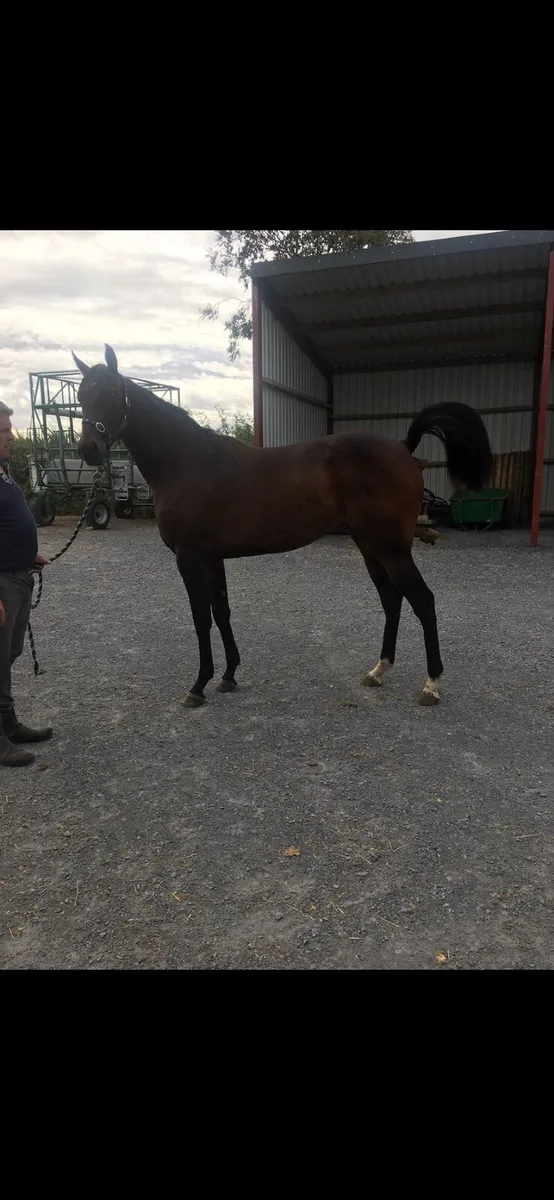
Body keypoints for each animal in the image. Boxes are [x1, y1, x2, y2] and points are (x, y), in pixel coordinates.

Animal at [74, 345, 492, 709]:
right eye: (80, 395)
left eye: (110, 392)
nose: (88, 450)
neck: (187, 462)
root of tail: (404, 448)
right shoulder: (212, 557)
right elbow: (221, 612)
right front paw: (228, 675)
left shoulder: (189, 558)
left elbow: (200, 620)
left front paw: (198, 686)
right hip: (370, 546)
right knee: (392, 600)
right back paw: (378, 671)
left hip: (391, 548)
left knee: (422, 600)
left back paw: (431, 685)